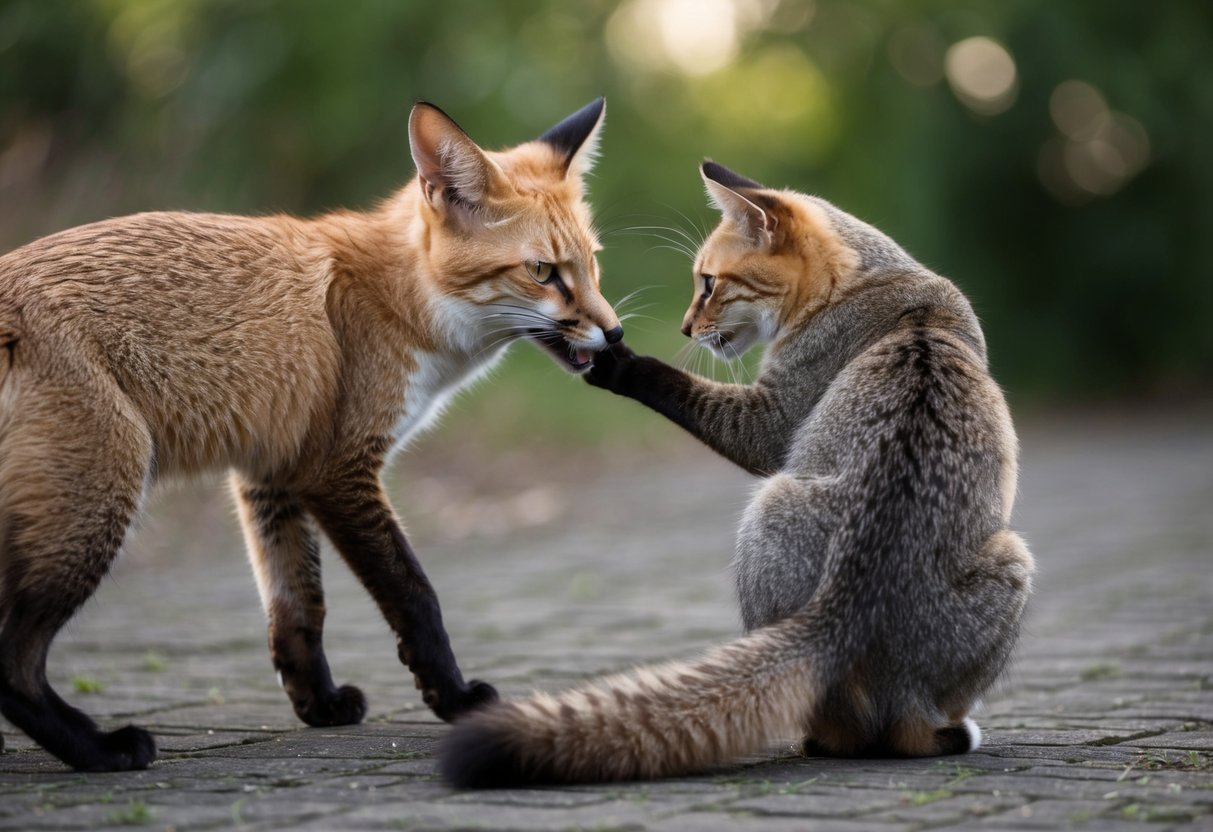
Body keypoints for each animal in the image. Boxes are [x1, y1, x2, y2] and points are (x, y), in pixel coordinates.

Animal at [0, 97, 621, 772]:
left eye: (592, 264)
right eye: (543, 271)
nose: (616, 333)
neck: (403, 300)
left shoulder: (273, 474)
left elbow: (298, 609)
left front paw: (317, 704)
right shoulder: (339, 472)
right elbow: (416, 597)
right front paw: (454, 699)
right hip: (100, 496)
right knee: (13, 665)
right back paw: (100, 749)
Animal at [438, 160, 1033, 786]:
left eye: (708, 282)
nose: (683, 328)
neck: (884, 294)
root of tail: (847, 607)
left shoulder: (771, 425)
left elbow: (676, 385)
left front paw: (618, 362)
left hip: (988, 555)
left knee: (873, 734)